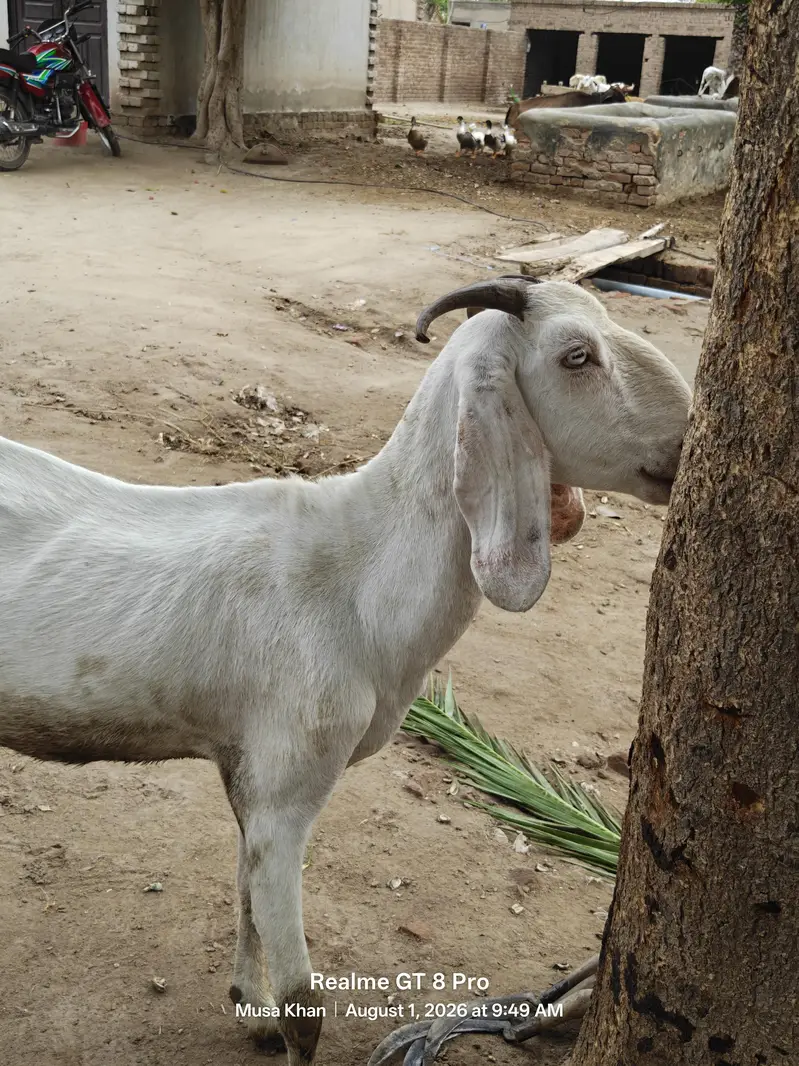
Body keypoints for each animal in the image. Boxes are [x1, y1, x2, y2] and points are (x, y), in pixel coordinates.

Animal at [0, 277, 692, 1065]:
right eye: (576, 356)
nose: (685, 441)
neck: (358, 576)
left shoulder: (248, 771)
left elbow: (244, 896)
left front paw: (249, 1008)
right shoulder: (288, 785)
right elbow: (307, 1008)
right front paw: (277, 1018)